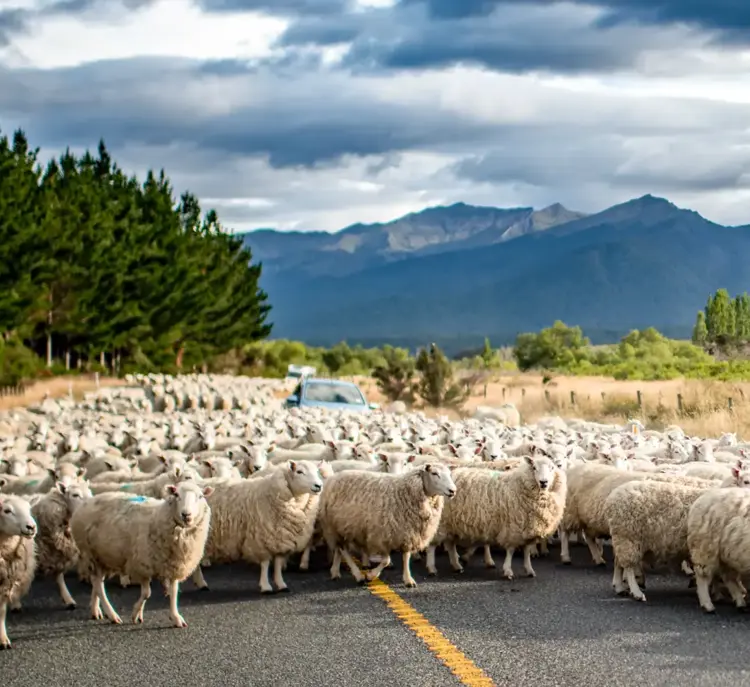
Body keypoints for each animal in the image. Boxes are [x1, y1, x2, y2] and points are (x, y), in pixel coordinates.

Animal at [70, 481, 214, 627]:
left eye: (200, 496)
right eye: (176, 495)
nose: (186, 514)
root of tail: (87, 503)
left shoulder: (174, 564)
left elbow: (173, 593)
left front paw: (176, 618)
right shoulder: (142, 564)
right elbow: (147, 593)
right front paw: (136, 614)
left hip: (103, 557)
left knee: (96, 583)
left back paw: (95, 610)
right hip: (90, 553)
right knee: (98, 585)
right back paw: (112, 615)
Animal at [194, 460, 323, 594]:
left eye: (317, 471)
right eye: (299, 471)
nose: (318, 486)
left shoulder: (280, 538)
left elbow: (278, 563)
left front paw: (281, 584)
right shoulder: (262, 538)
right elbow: (265, 563)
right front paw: (265, 586)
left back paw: (200, 583)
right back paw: (201, 583)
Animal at [318, 463, 456, 588]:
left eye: (450, 474)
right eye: (434, 473)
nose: (453, 491)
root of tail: (332, 478)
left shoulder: (407, 532)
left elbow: (406, 557)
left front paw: (408, 579)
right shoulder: (381, 536)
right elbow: (386, 560)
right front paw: (370, 576)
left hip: (342, 527)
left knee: (338, 549)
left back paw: (335, 572)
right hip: (335, 526)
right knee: (343, 550)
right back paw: (358, 576)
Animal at [426, 456, 566, 580]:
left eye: (552, 468)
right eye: (534, 468)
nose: (543, 482)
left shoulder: (527, 529)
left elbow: (526, 551)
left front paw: (529, 570)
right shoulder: (512, 528)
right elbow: (510, 550)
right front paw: (508, 571)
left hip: (451, 523)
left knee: (450, 544)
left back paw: (456, 565)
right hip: (440, 523)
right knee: (432, 545)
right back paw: (432, 568)